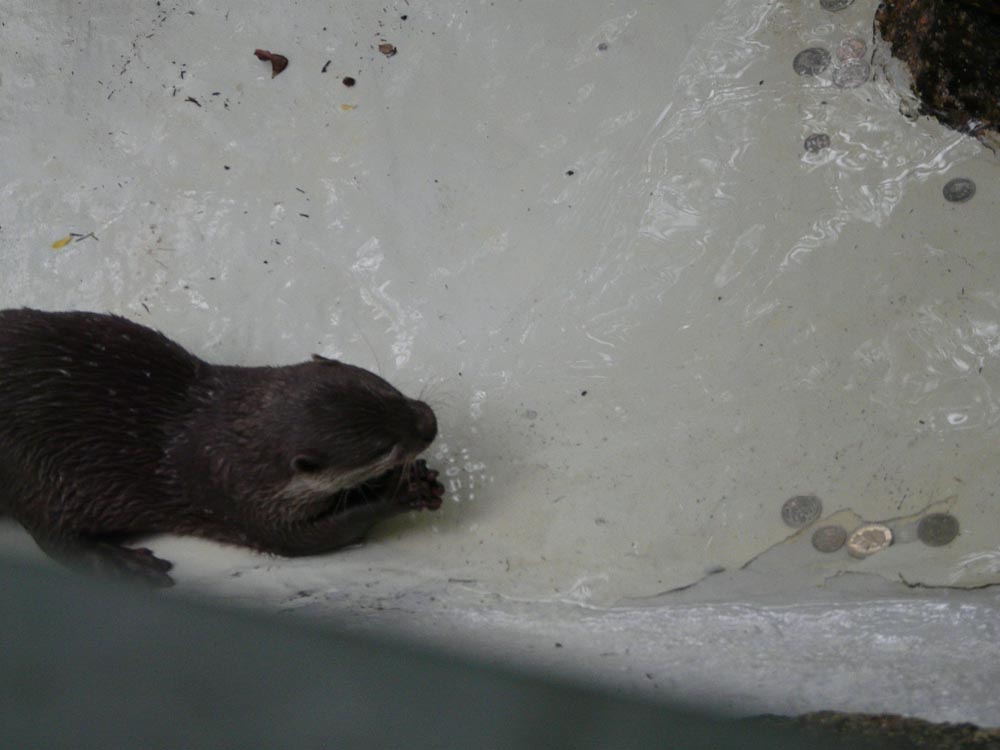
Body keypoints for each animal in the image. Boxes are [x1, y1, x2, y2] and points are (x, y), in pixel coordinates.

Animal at [0, 308, 443, 587]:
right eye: (382, 446)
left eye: (389, 391)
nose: (429, 423)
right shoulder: (244, 504)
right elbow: (313, 539)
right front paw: (402, 493)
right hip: (37, 470)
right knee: (55, 536)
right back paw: (124, 564)